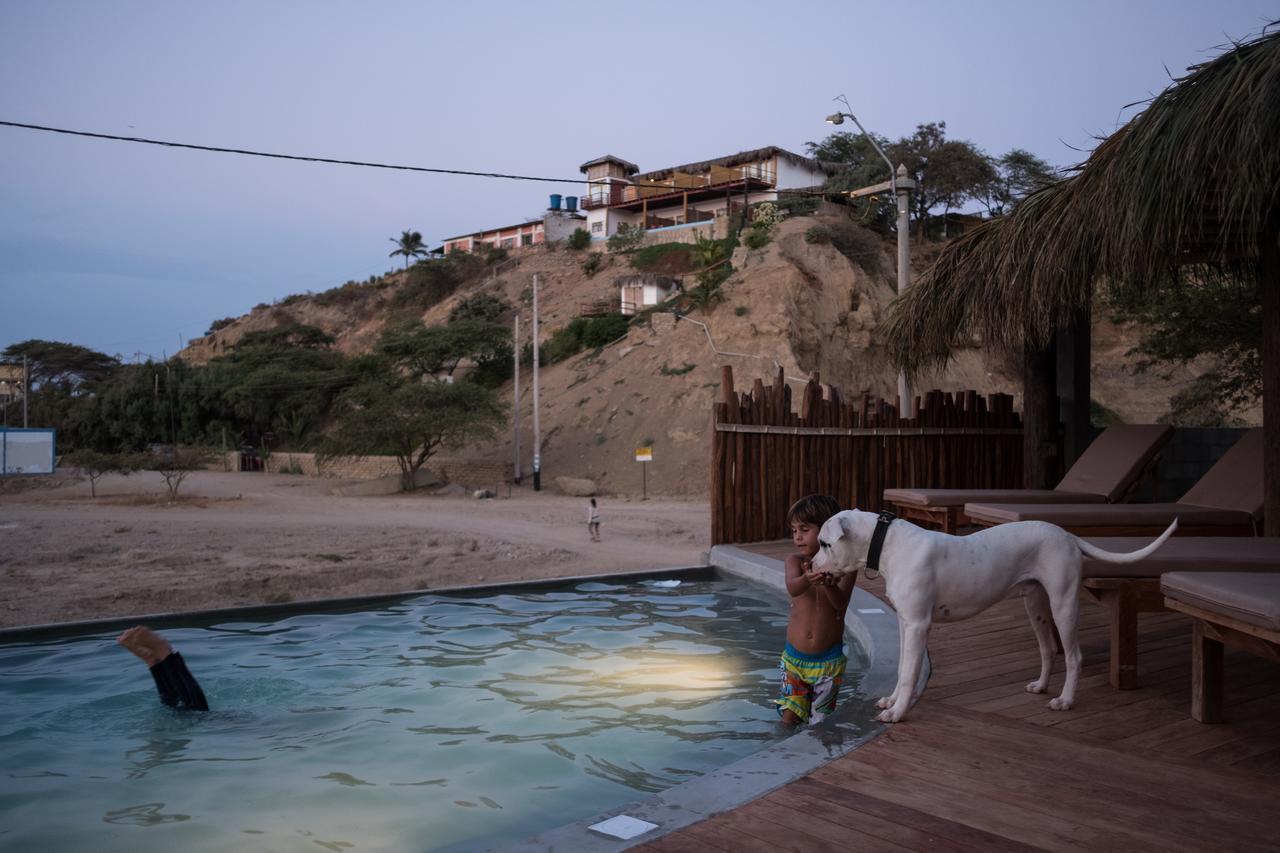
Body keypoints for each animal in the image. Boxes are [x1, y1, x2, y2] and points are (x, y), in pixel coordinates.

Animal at [814, 507, 1172, 722]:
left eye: (824, 544)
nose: (811, 564)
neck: (887, 542)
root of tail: (1067, 535)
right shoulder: (905, 623)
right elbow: (903, 668)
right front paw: (891, 701)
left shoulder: (917, 625)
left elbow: (908, 674)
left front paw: (898, 712)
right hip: (1036, 606)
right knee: (1048, 649)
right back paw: (1041, 685)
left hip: (1063, 604)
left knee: (1074, 656)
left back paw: (1065, 700)